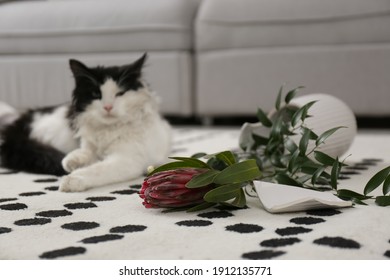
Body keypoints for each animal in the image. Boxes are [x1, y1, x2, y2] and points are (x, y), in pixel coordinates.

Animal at [0, 53, 171, 191]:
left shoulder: (126, 159)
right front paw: (71, 161)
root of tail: (20, 121)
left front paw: (72, 179)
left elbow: (97, 168)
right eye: (96, 94)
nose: (108, 107)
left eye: (120, 93)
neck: (108, 129)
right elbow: (85, 152)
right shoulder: (88, 143)